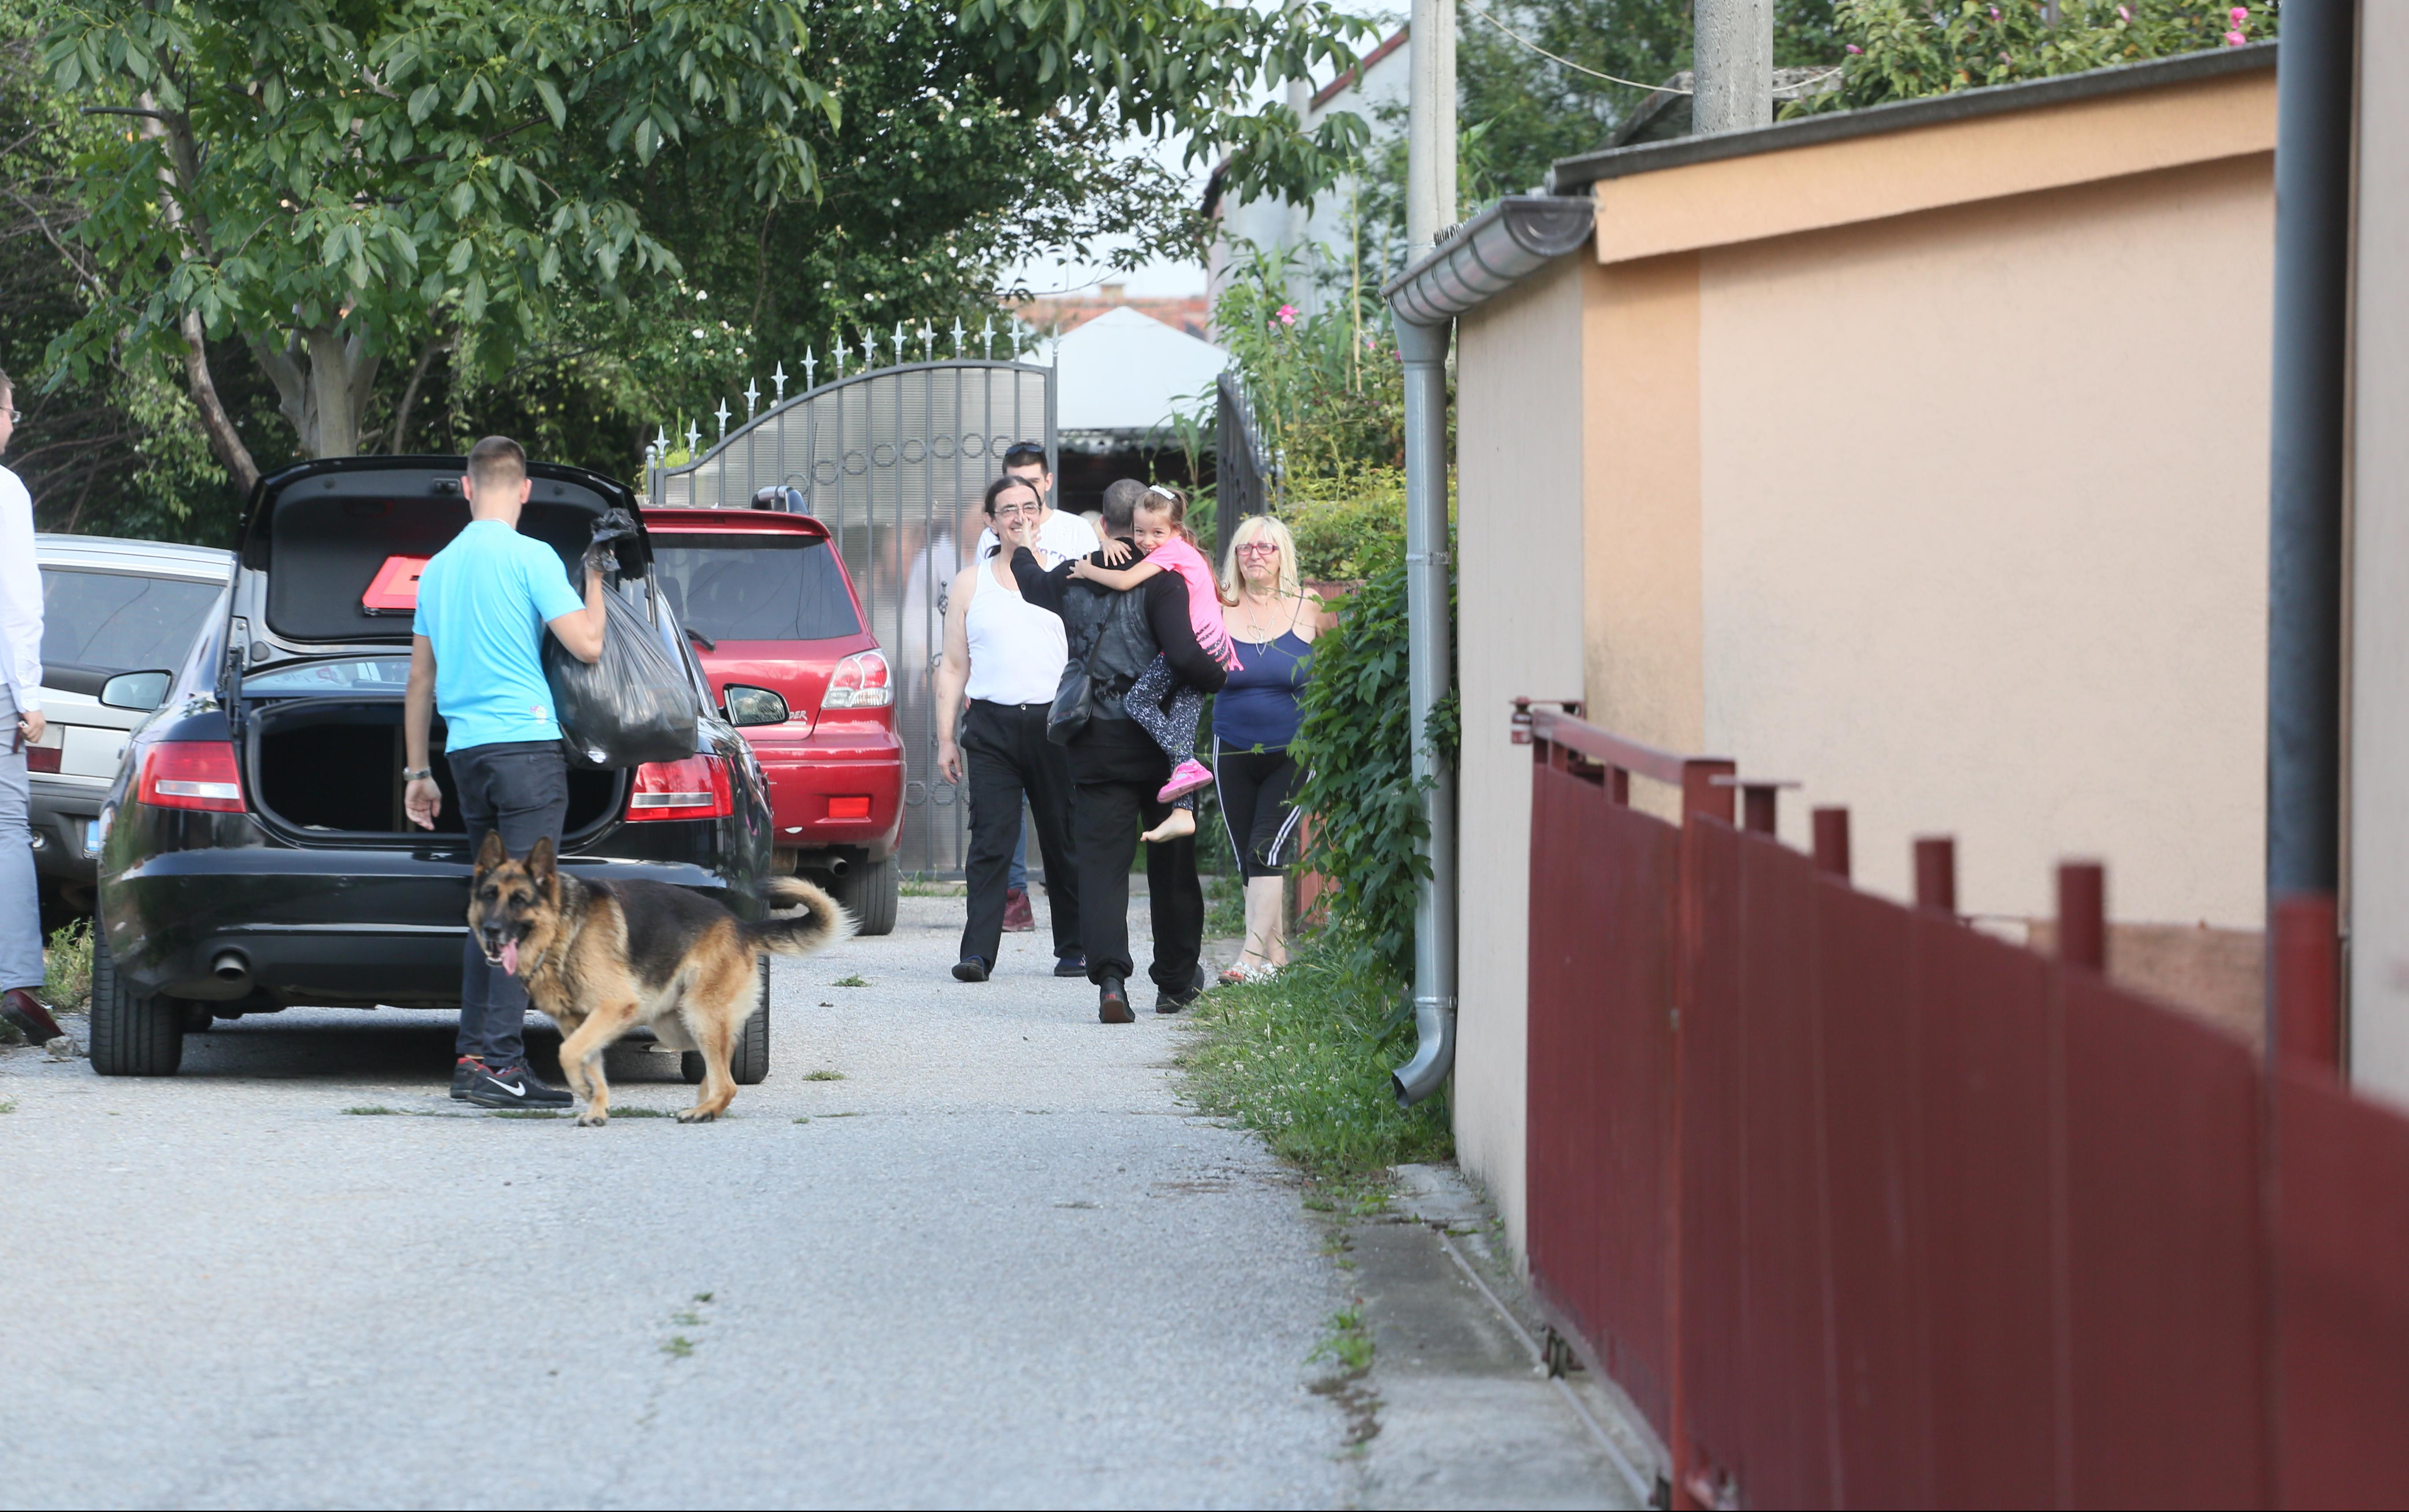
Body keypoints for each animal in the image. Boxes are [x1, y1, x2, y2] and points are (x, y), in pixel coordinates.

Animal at [465, 833, 853, 1126]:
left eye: (520, 900)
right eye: (489, 896)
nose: (491, 931)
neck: (562, 930)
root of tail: (741, 927)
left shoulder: (612, 1007)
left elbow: (569, 1053)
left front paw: (584, 1090)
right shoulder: (581, 1022)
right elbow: (589, 1062)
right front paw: (597, 1106)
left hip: (699, 1015)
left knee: (728, 1081)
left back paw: (705, 1110)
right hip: (676, 1026)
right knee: (722, 1060)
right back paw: (703, 1099)